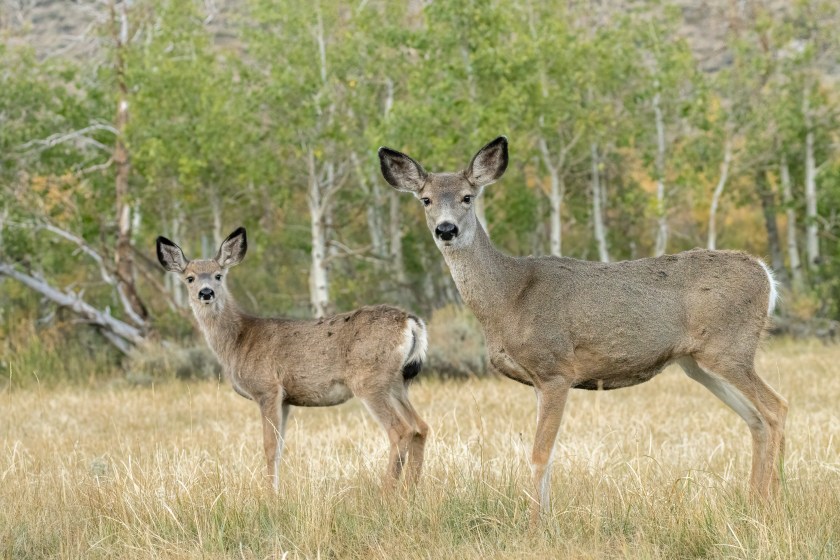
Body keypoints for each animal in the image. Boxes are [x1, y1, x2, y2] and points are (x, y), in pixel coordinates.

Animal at [156, 227, 429, 490]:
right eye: (190, 278)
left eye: (218, 275)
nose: (206, 292)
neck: (238, 341)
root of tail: (410, 322)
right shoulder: (285, 399)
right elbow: (279, 447)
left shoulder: (267, 388)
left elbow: (269, 447)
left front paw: (269, 495)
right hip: (397, 382)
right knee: (421, 427)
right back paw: (410, 491)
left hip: (370, 380)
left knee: (401, 430)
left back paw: (387, 493)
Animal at [378, 136, 788, 524]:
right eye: (426, 199)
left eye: (467, 196)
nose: (446, 229)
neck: (509, 297)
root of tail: (766, 275)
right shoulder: (536, 380)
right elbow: (545, 454)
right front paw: (544, 519)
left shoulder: (556, 368)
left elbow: (540, 454)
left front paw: (535, 527)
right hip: (697, 362)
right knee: (755, 419)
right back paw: (753, 503)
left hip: (729, 348)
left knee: (776, 408)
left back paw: (772, 504)